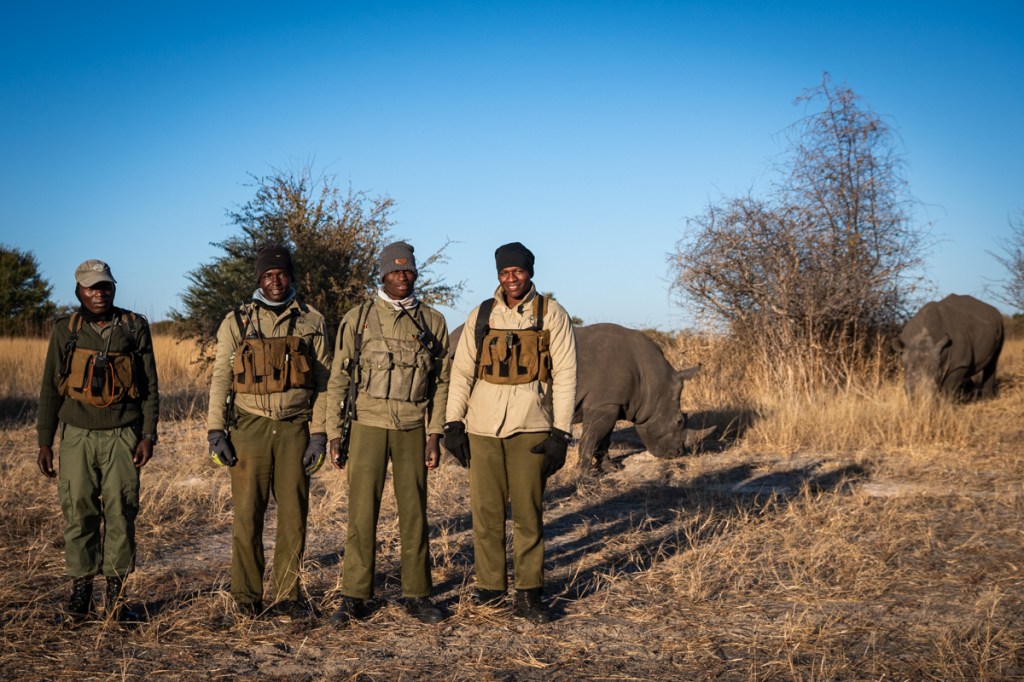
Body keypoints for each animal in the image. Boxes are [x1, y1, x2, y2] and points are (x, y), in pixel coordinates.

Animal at [447, 322, 714, 474]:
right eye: (679, 422)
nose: (677, 453)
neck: (652, 383)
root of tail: (450, 336)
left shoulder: (609, 404)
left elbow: (604, 438)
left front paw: (611, 468)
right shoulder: (604, 404)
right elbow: (591, 437)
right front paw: (587, 474)